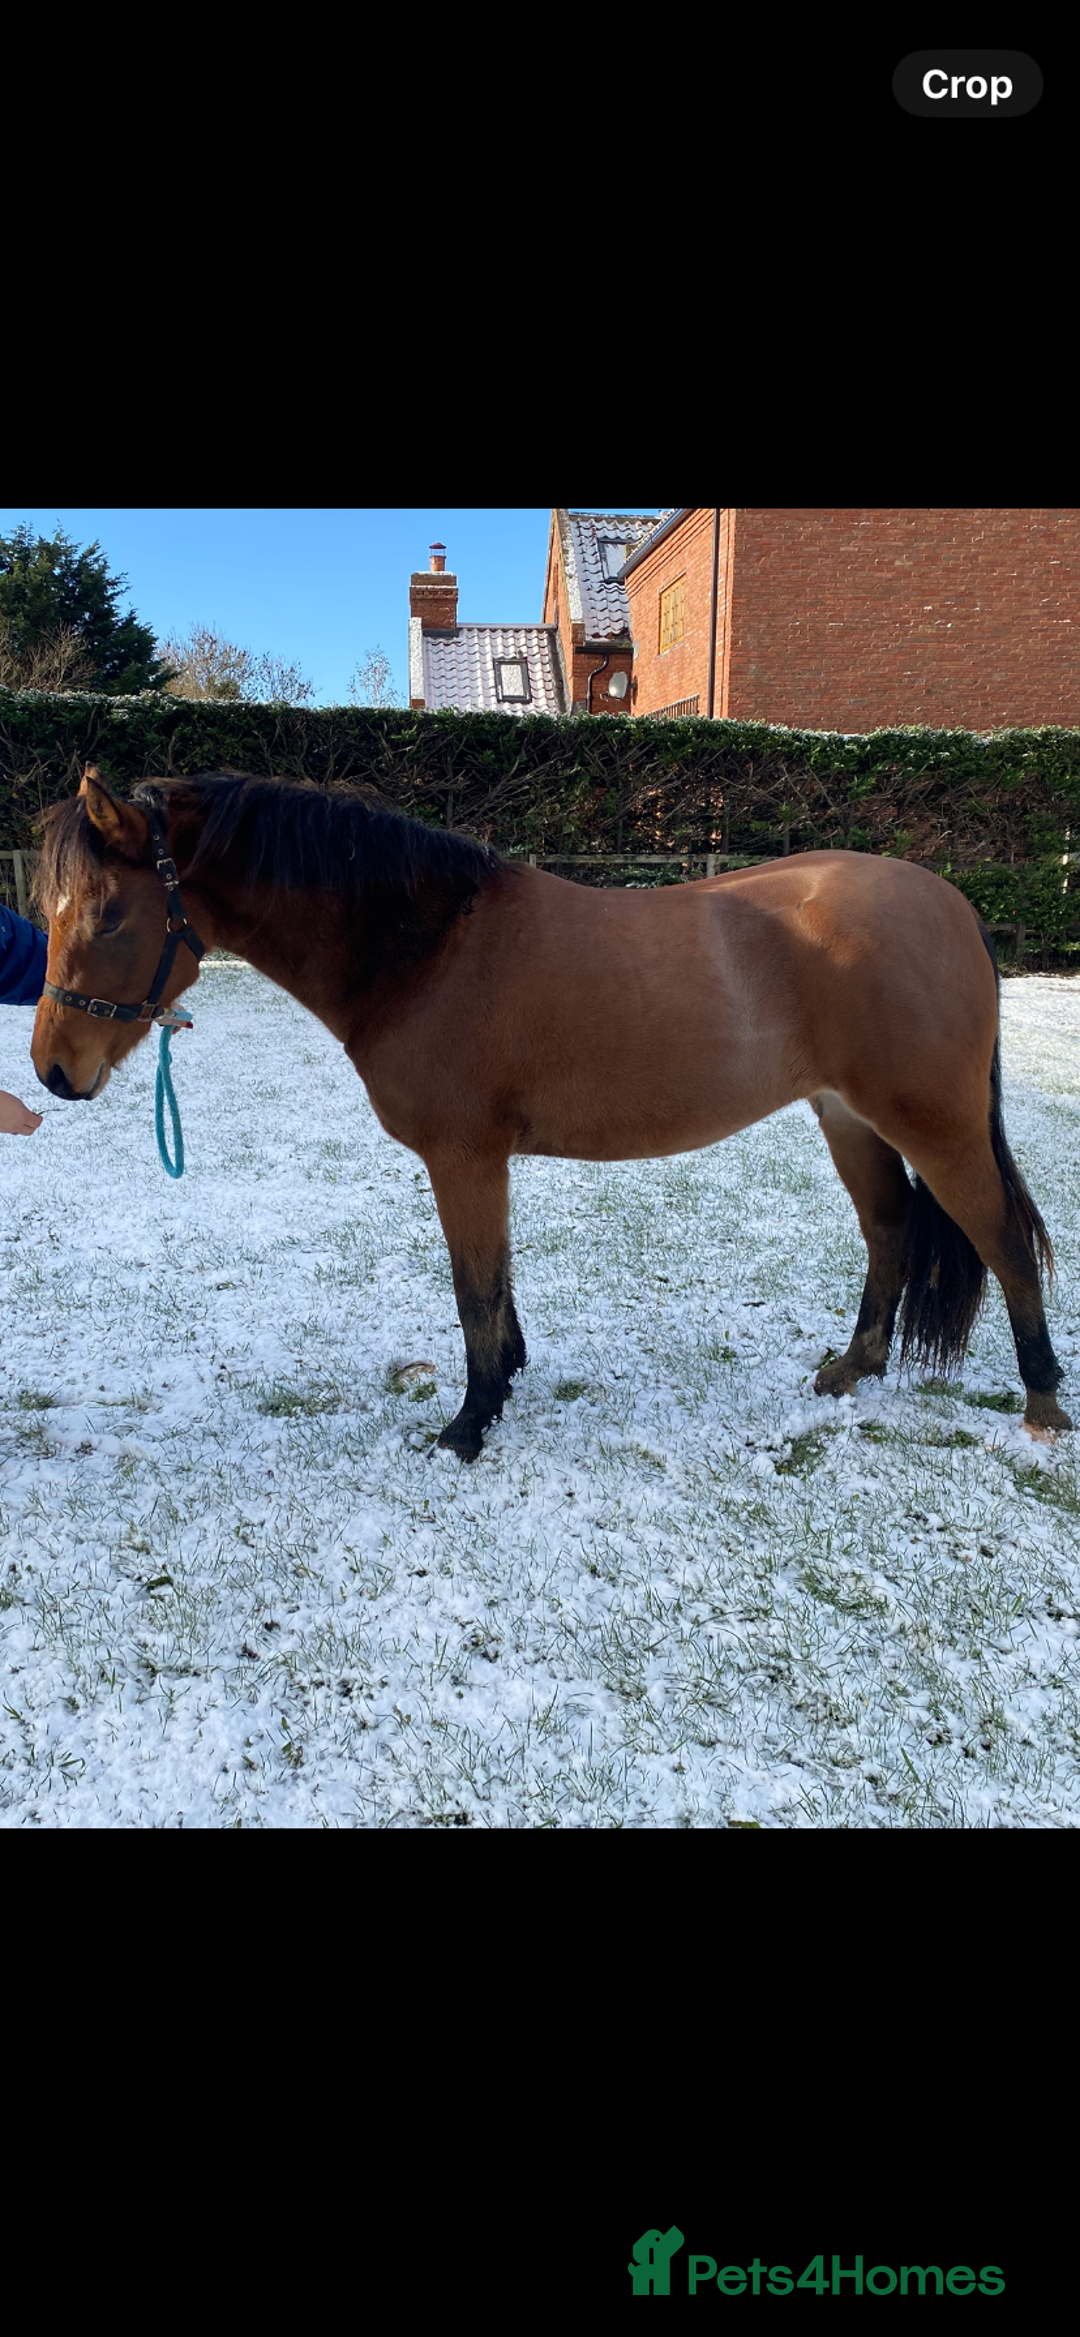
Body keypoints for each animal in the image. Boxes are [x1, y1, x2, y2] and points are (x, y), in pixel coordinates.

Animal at [30, 765, 1070, 1461]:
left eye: (109, 916)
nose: (52, 1070)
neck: (427, 946)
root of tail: (952, 904)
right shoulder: (483, 1161)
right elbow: (497, 1280)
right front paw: (508, 1379)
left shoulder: (462, 1157)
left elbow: (474, 1285)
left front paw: (469, 1421)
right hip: (847, 1118)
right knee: (891, 1229)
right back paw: (852, 1370)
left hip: (934, 1124)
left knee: (1004, 1239)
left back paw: (1044, 1404)